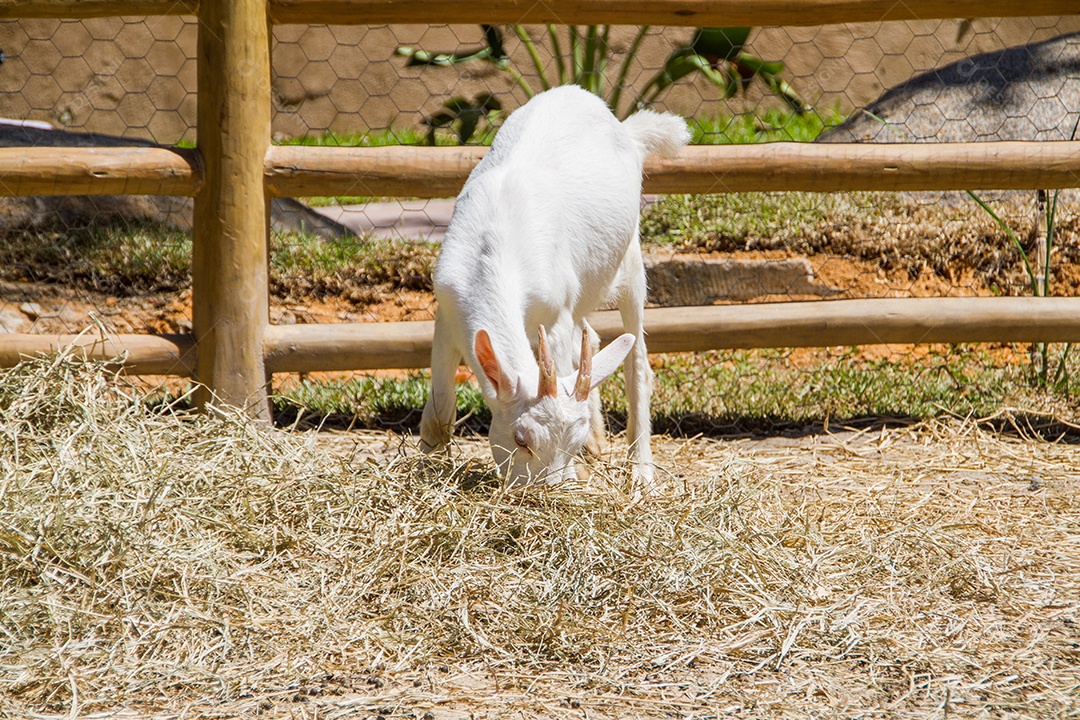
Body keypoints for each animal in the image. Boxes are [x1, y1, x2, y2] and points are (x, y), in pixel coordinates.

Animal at [416, 85, 686, 490]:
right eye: (520, 439)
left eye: (569, 442)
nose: (551, 492)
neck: (494, 251)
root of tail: (625, 129)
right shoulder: (448, 311)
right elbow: (439, 413)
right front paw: (427, 468)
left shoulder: (555, 315)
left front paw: (581, 463)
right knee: (589, 344)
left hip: (630, 261)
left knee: (636, 360)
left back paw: (641, 470)